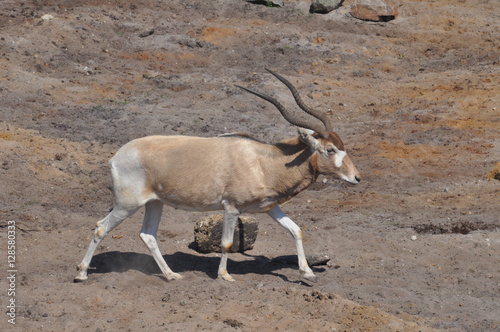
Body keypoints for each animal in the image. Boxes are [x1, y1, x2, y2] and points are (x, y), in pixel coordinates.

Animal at [75, 68, 360, 282]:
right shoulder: (231, 208)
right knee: (101, 228)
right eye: (330, 149)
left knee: (148, 235)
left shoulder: (270, 208)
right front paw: (224, 275)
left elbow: (296, 230)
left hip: (154, 203)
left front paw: (308, 273)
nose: (356, 177)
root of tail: (117, 157)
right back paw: (81, 274)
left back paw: (171, 275)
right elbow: (226, 244)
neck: (264, 160)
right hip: (128, 204)